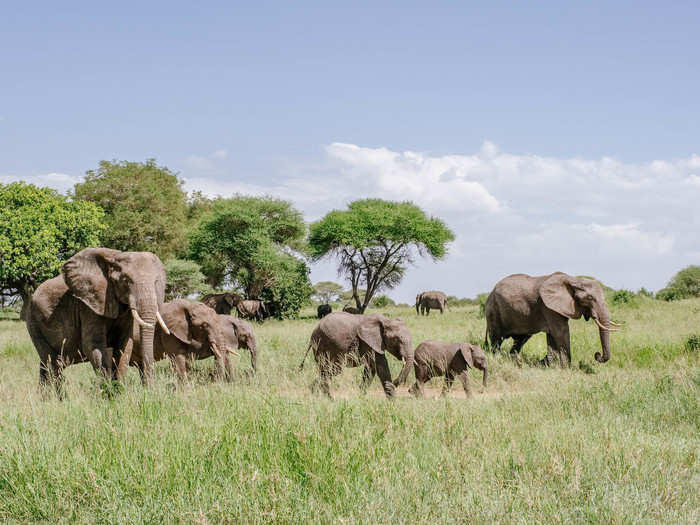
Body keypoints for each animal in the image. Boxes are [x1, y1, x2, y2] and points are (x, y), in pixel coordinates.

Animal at [27, 248, 171, 390]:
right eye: (126, 281)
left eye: (156, 282)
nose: (149, 389)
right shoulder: (88, 306)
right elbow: (92, 345)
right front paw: (108, 392)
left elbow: (124, 345)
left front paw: (119, 391)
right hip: (34, 322)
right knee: (52, 364)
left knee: (46, 366)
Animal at [484, 272, 616, 366]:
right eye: (589, 298)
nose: (597, 355)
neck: (573, 279)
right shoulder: (548, 307)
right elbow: (561, 332)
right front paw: (567, 367)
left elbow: (553, 335)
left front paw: (548, 363)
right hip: (493, 311)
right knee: (496, 340)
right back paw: (497, 358)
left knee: (521, 340)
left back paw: (514, 360)